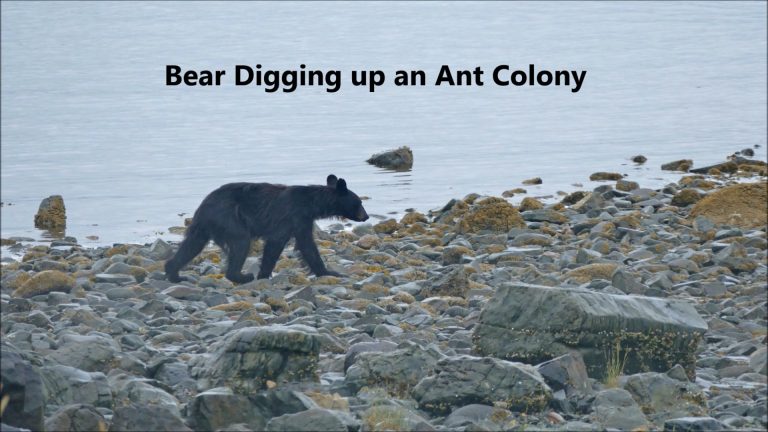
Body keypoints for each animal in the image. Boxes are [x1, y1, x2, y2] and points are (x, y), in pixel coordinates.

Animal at [165, 174, 369, 283]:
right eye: (359, 203)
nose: (366, 216)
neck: (312, 204)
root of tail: (204, 204)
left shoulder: (301, 220)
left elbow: (303, 244)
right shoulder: (294, 217)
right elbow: (291, 243)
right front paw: (330, 272)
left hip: (203, 225)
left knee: (191, 245)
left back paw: (174, 274)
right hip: (229, 218)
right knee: (241, 242)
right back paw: (241, 275)